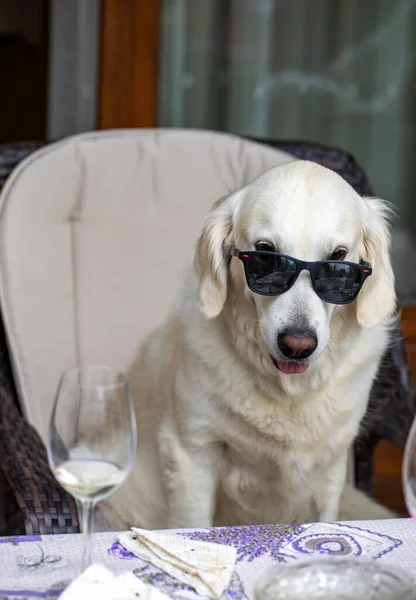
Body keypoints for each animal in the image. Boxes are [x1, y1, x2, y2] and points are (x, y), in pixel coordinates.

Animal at [104, 159, 396, 528]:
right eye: (265, 254)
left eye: (338, 258)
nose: (297, 344)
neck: (288, 391)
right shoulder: (191, 453)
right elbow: (192, 523)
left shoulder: (330, 465)